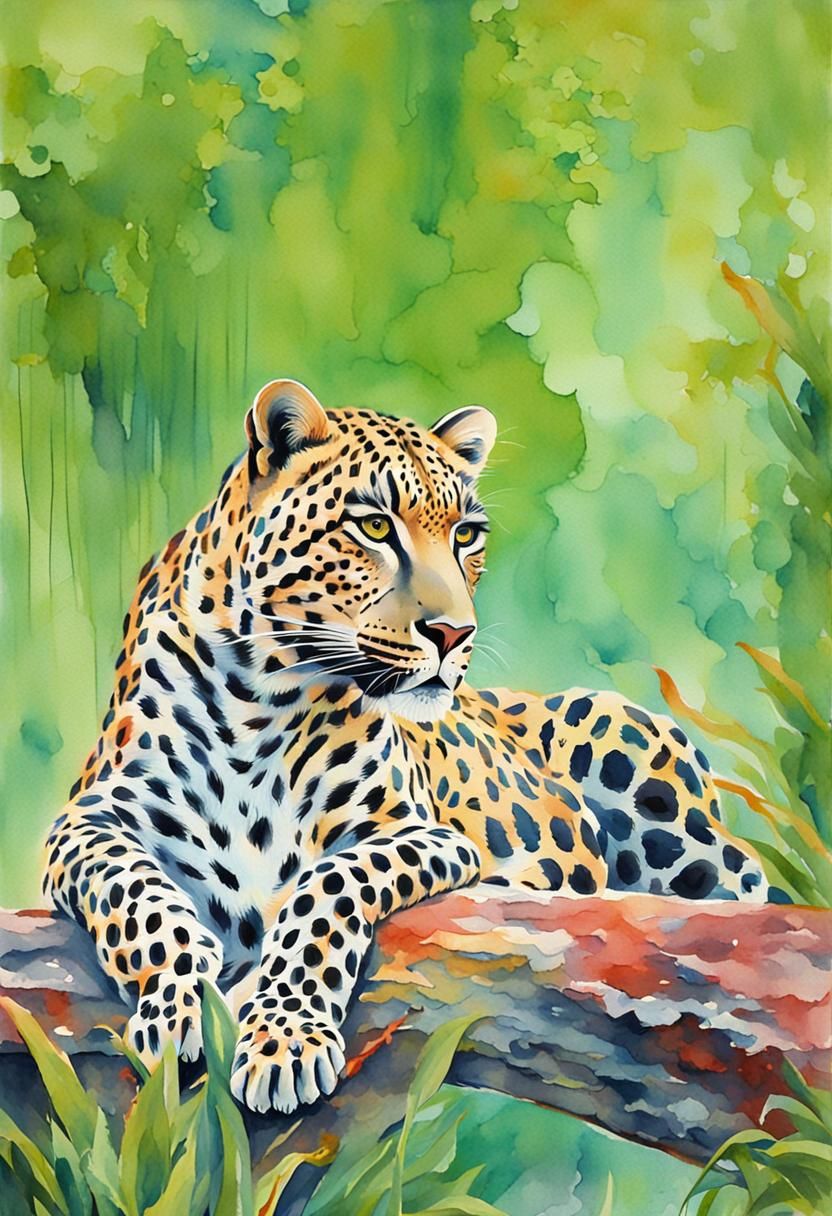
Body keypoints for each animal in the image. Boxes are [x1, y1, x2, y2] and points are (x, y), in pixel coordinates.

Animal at [43, 378, 779, 1115]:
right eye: (374, 527)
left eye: (466, 535)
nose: (454, 634)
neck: (261, 695)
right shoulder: (85, 822)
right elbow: (138, 895)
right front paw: (179, 1008)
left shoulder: (421, 832)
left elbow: (326, 886)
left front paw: (284, 1036)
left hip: (632, 760)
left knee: (740, 890)